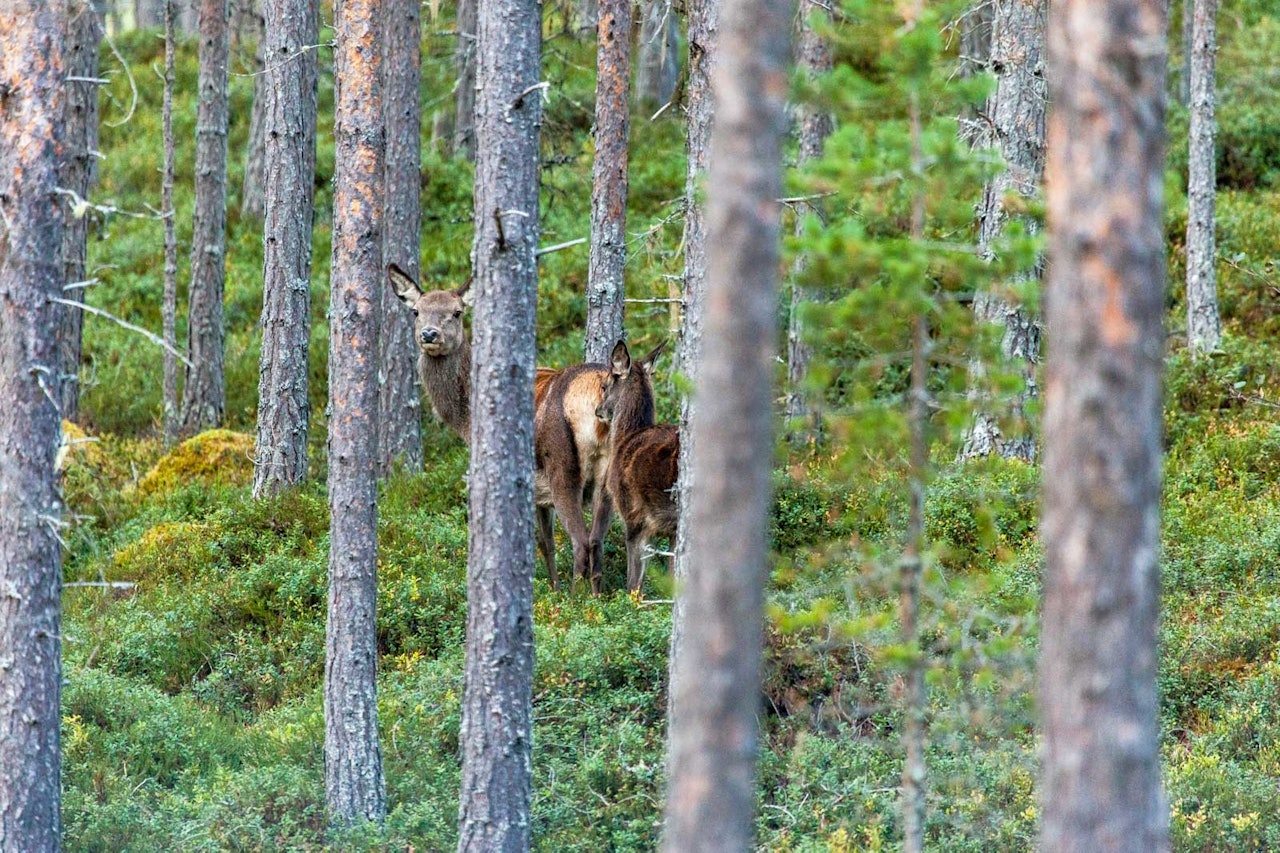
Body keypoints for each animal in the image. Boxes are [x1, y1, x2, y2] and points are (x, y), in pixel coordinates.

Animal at [386, 263, 611, 591]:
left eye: (457, 312)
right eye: (416, 311)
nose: (429, 334)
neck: (465, 417)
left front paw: (554, 594)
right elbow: (546, 544)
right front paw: (553, 588)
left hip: (562, 467)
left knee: (581, 542)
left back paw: (575, 600)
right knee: (597, 541)